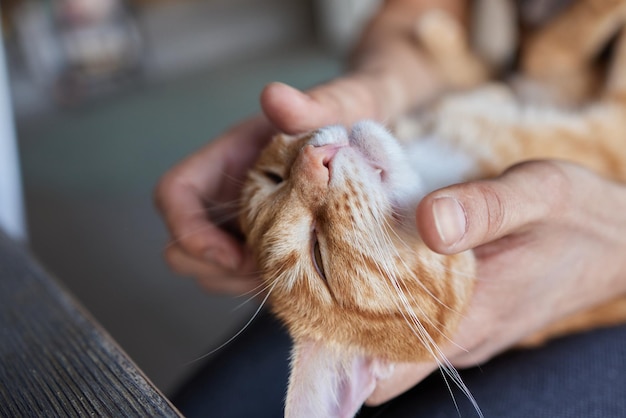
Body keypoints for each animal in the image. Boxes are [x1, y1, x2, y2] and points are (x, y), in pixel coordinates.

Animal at [238, 1, 624, 416]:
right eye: (318, 256)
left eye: (274, 177)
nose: (315, 160)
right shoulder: (608, 129)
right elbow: (560, 47)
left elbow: (526, 62)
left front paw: (446, 42)